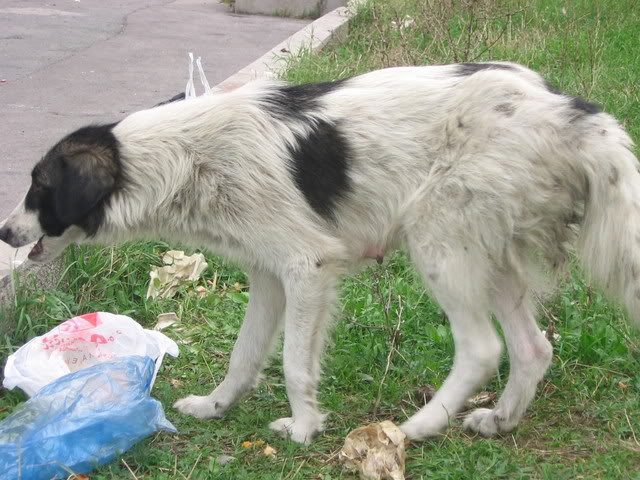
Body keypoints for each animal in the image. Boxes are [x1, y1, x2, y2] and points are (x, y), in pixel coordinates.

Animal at [1, 62, 640, 444]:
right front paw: (215, 407)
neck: (185, 158)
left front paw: (305, 427)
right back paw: (501, 418)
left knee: (483, 349)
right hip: (488, 257)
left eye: (38, 188)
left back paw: (417, 426)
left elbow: (292, 362)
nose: (5, 233)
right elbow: (245, 356)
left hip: (440, 246)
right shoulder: (267, 274)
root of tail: (573, 112)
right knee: (533, 347)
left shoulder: (306, 268)